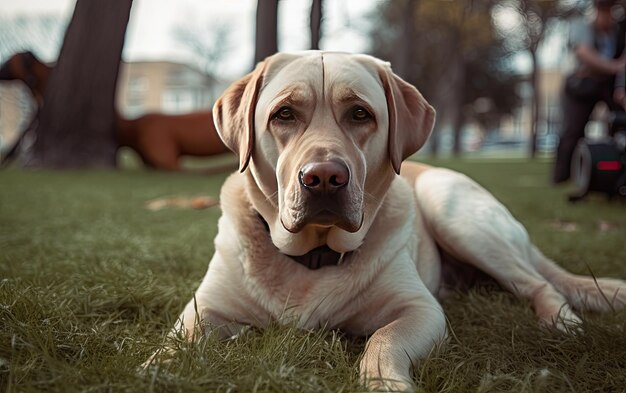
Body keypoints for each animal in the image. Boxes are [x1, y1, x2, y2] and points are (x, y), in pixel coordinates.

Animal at [163, 51, 620, 388]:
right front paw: (157, 369)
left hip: (453, 209)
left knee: (539, 282)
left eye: (360, 114)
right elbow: (168, 351)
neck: (313, 255)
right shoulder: (201, 312)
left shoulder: (420, 310)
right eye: (285, 114)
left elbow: (383, 340)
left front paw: (384, 381)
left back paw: (561, 323)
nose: (324, 178)